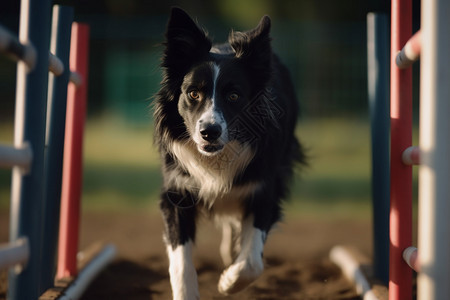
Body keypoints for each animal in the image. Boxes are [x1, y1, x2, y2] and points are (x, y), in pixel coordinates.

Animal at [153, 7, 304, 300]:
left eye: (234, 96)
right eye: (193, 93)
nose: (209, 132)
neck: (216, 157)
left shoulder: (264, 189)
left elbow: (253, 262)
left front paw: (228, 281)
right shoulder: (177, 191)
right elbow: (181, 262)